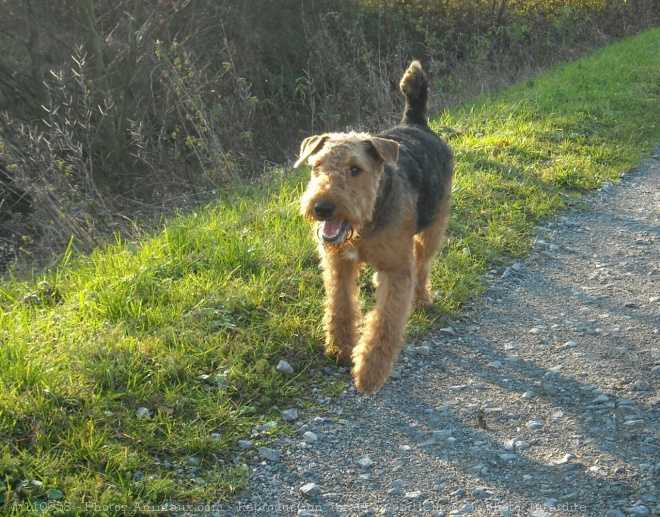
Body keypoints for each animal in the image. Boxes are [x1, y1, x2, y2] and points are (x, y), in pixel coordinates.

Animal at [296, 60, 454, 392]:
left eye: (355, 169)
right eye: (316, 167)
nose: (322, 208)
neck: (364, 226)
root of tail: (415, 123)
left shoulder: (396, 270)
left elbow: (385, 322)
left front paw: (370, 371)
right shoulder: (338, 263)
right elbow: (341, 305)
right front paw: (340, 348)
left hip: (432, 228)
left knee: (423, 267)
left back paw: (422, 300)